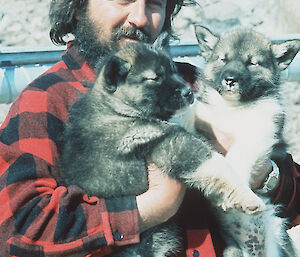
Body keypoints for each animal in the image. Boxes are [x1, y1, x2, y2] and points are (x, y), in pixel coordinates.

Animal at [190, 25, 300, 256]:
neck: (234, 108)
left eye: (252, 63)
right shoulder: (202, 119)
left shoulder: (261, 130)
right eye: (223, 59)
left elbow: (239, 155)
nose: (230, 79)